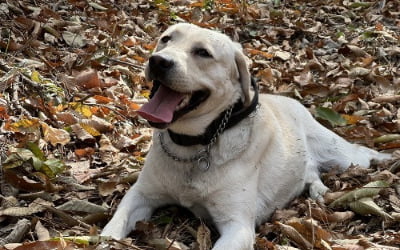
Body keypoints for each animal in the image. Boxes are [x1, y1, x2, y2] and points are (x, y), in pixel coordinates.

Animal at [101, 23, 390, 248]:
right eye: (166, 39)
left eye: (203, 53)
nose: (159, 61)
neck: (196, 144)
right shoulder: (140, 194)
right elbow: (113, 226)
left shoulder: (237, 225)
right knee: (310, 172)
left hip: (341, 154)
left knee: (361, 153)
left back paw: (386, 159)